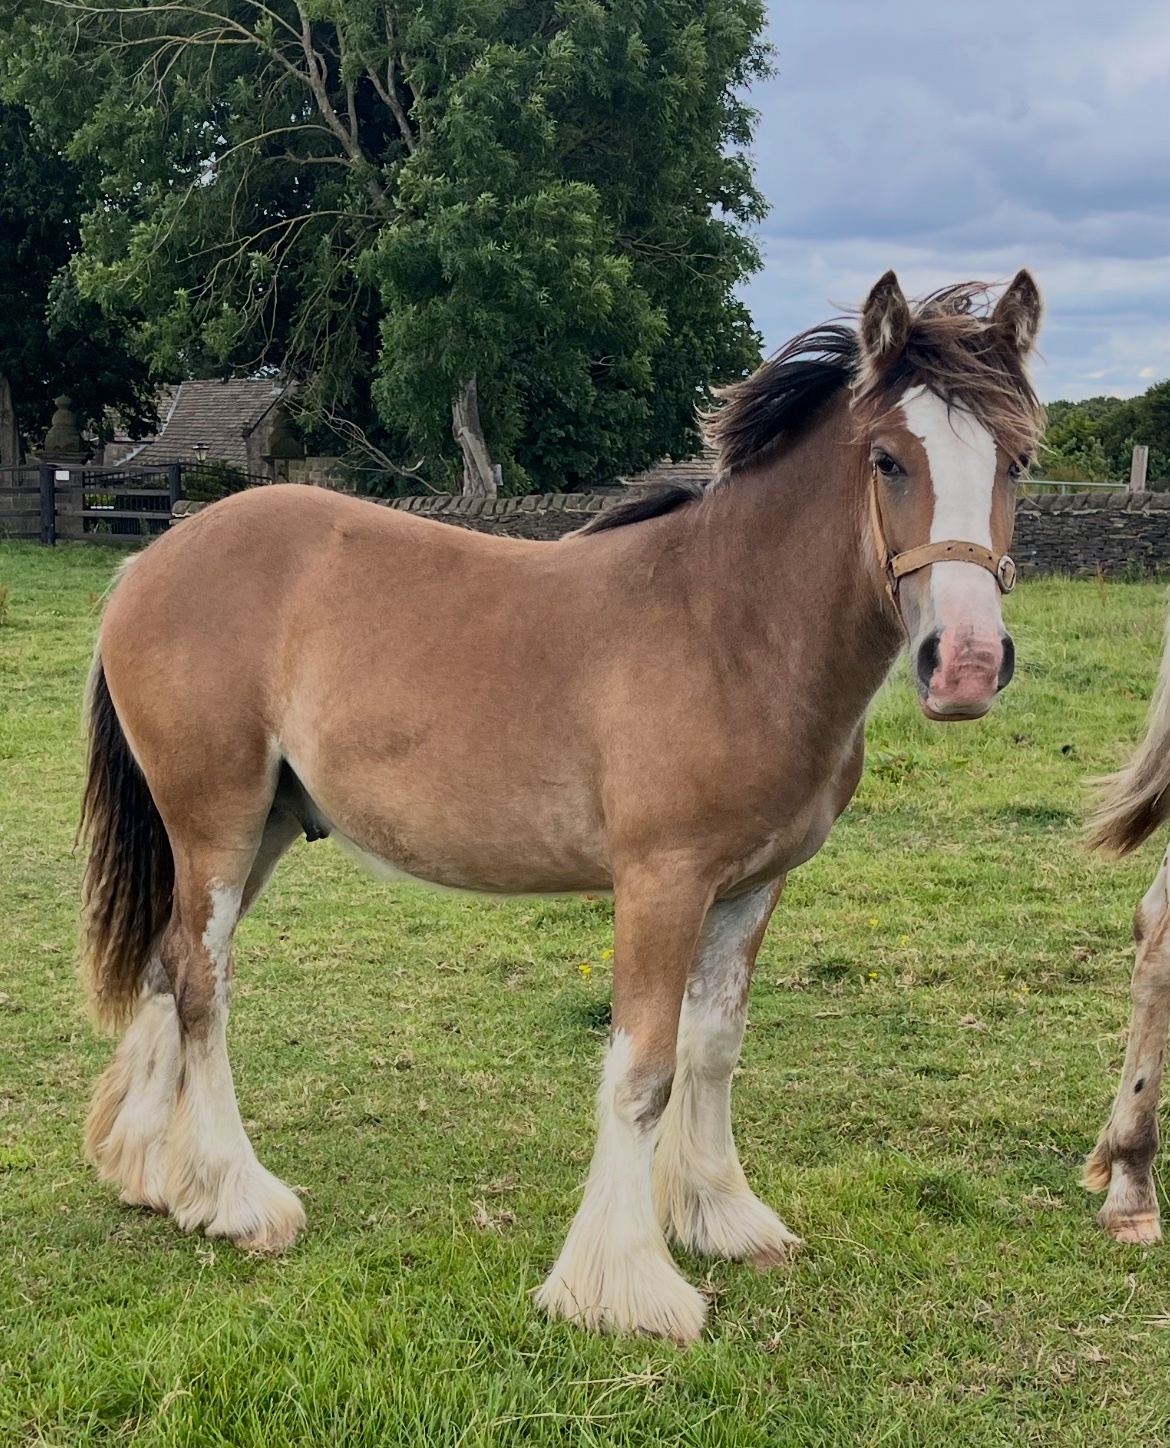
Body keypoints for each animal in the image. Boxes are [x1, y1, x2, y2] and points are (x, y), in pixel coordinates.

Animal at [79, 269, 1044, 1342]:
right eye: (887, 458)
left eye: (1018, 460)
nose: (966, 665)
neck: (734, 627)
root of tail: (150, 560)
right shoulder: (661, 882)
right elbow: (643, 1071)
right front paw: (621, 1284)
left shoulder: (753, 888)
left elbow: (713, 1049)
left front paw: (721, 1216)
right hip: (216, 821)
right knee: (202, 985)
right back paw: (239, 1198)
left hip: (264, 832)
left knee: (166, 964)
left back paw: (155, 1176)